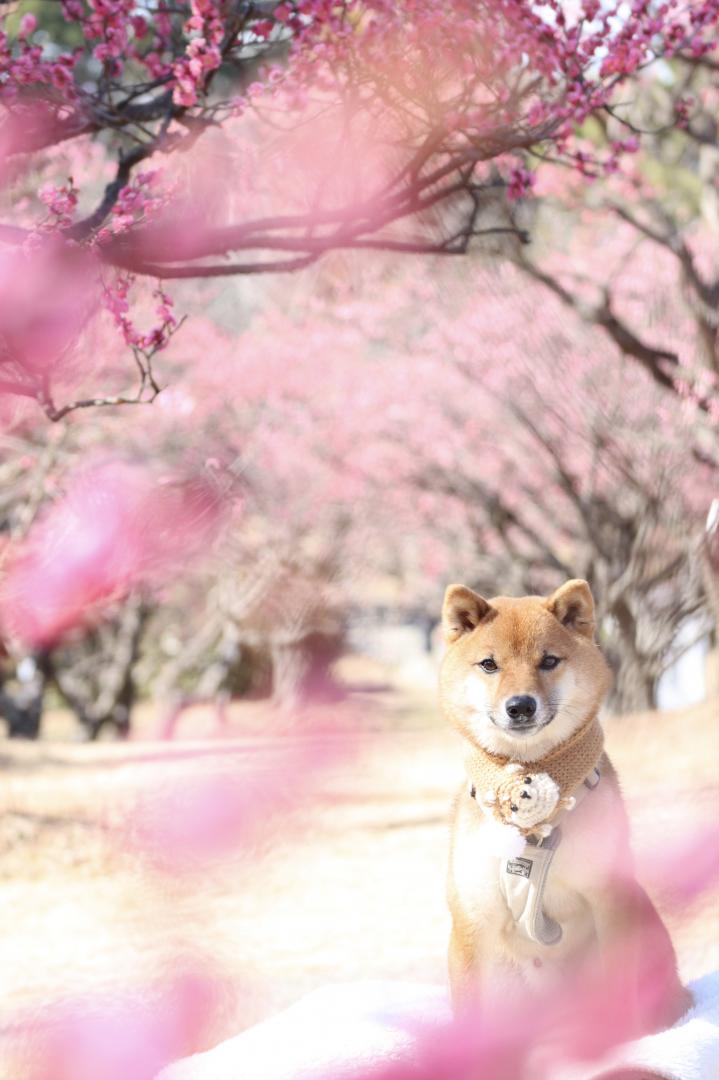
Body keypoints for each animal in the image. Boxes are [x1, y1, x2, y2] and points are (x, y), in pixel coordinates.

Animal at [436, 578, 690, 1041]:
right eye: (489, 664)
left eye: (549, 660)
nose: (520, 706)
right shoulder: (471, 921)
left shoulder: (609, 897)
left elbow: (620, 992)